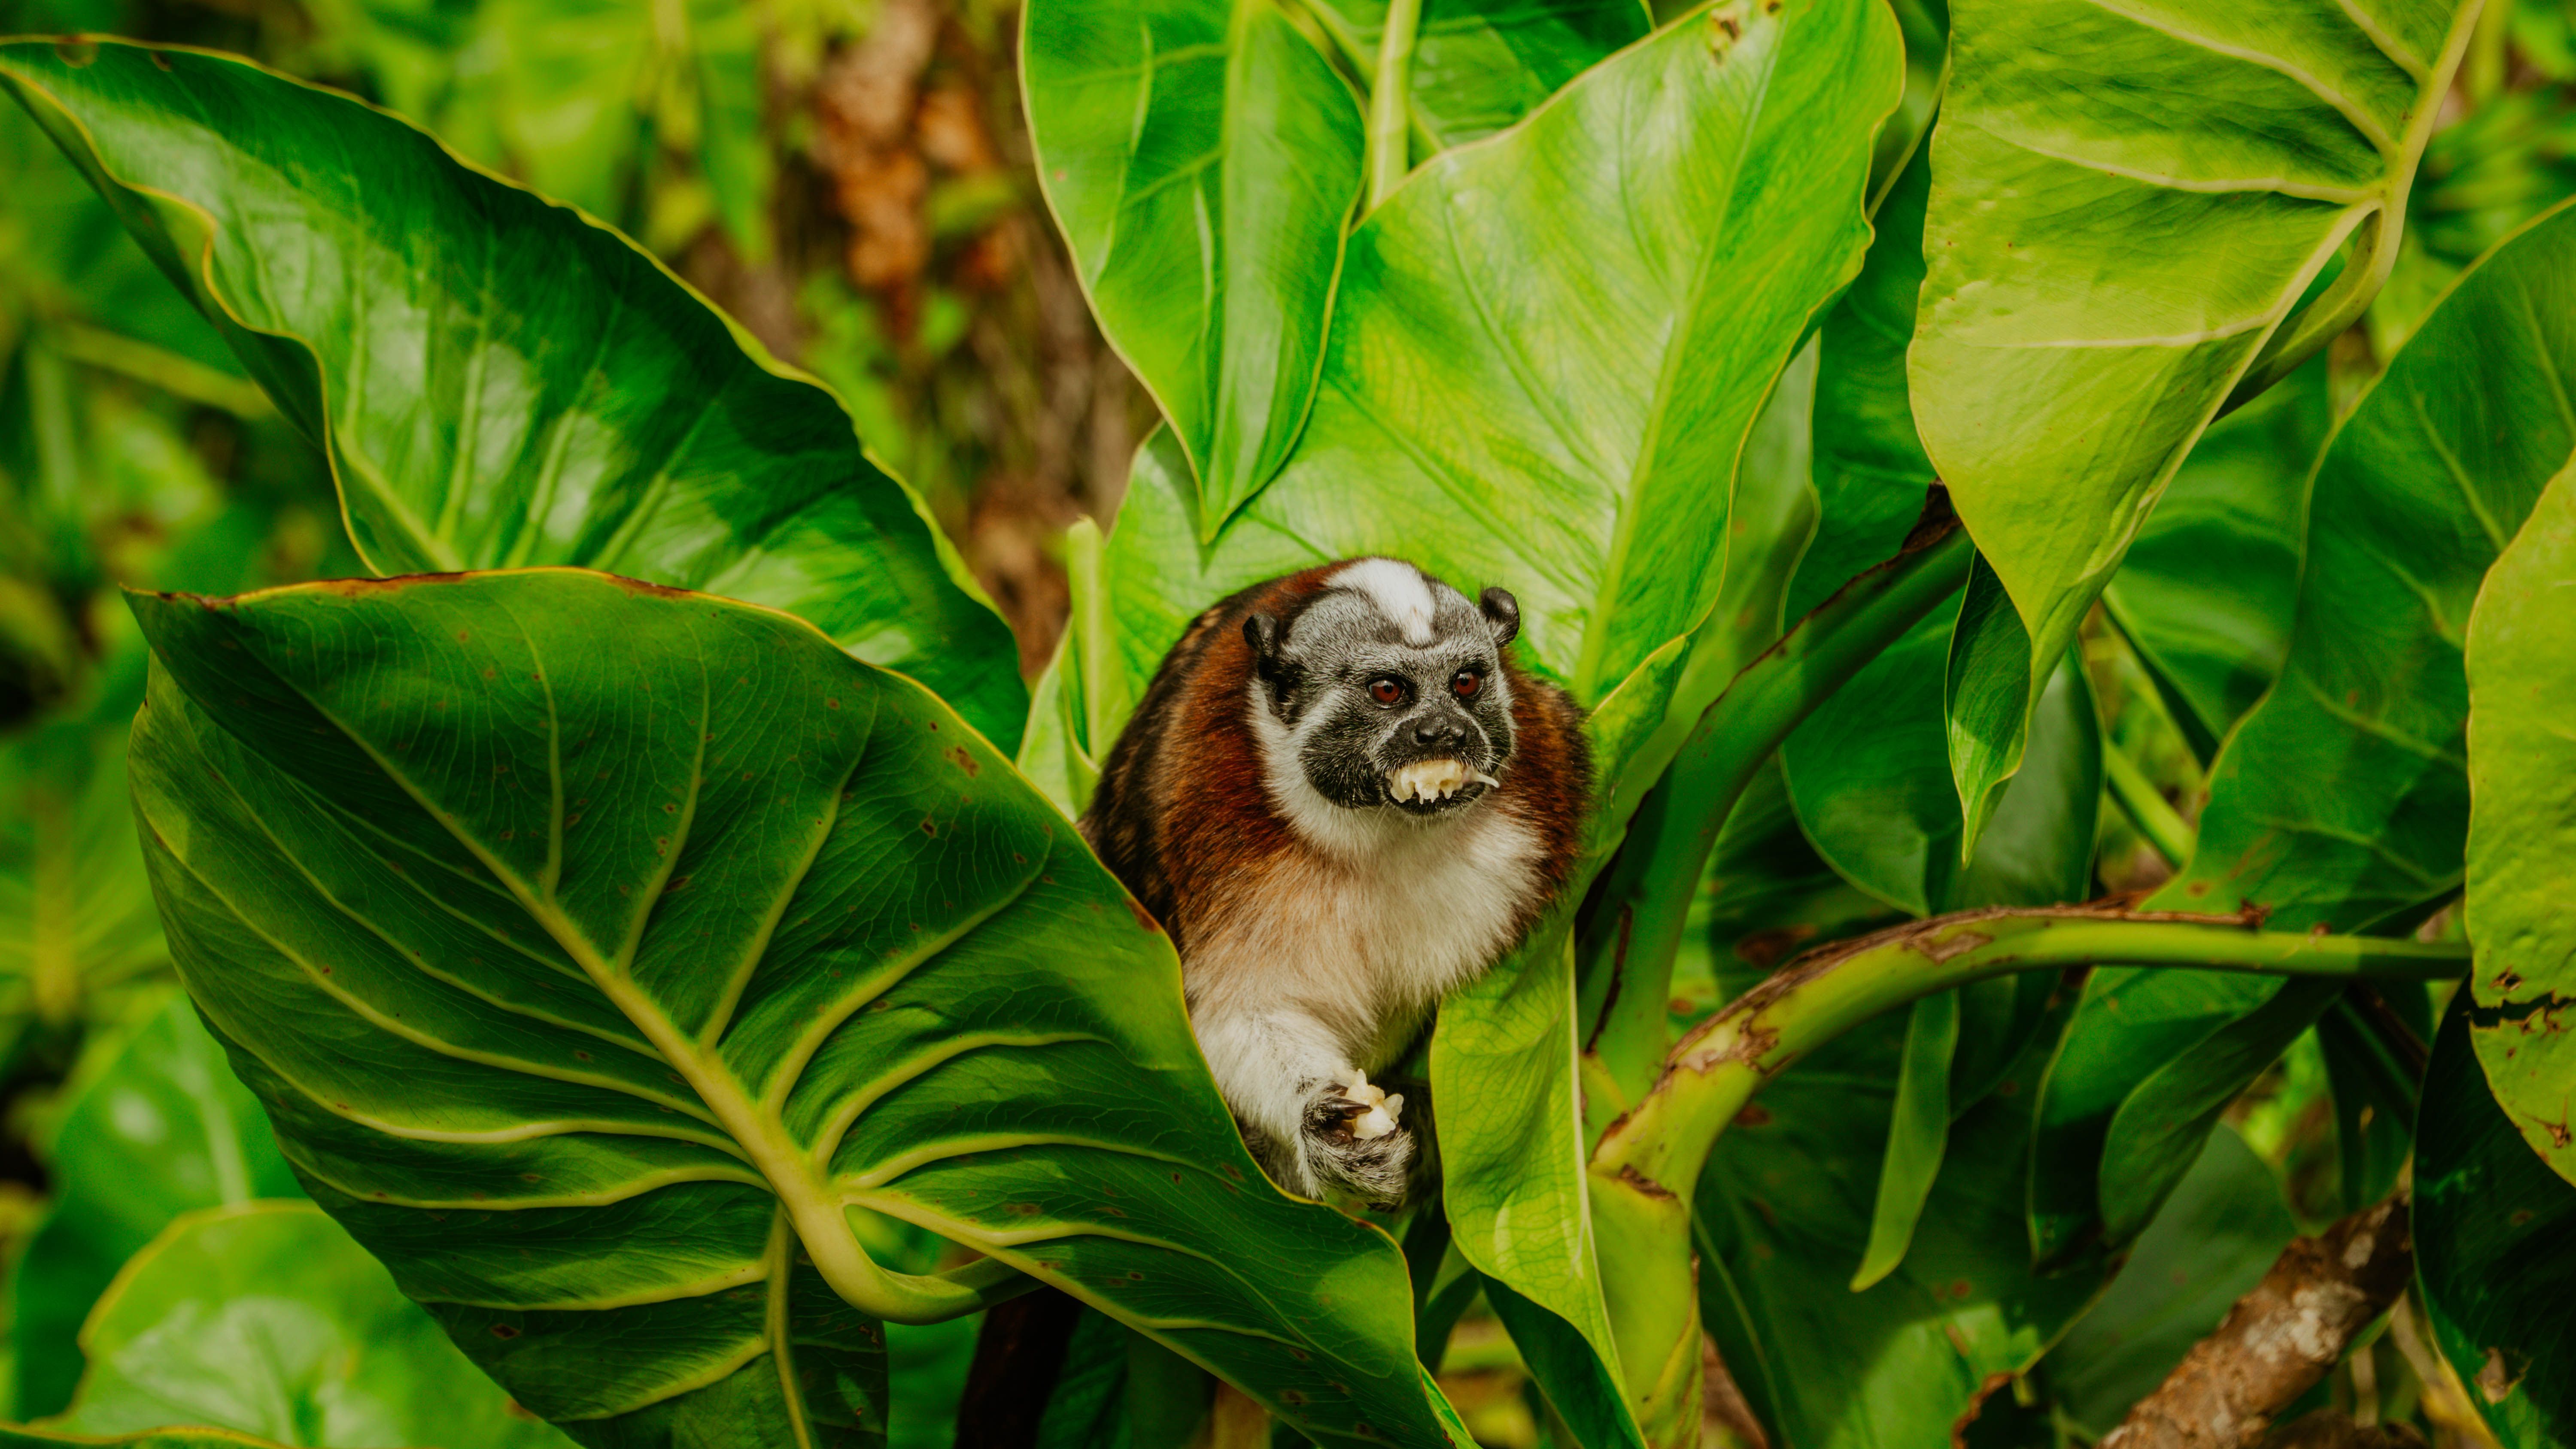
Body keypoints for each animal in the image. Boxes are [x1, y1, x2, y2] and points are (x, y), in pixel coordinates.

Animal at [1082, 557, 1590, 1206]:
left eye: (1466, 683)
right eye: (1389, 691)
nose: (1443, 733)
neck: (1384, 832)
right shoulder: (1210, 837)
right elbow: (1236, 1015)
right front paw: (1324, 1128)